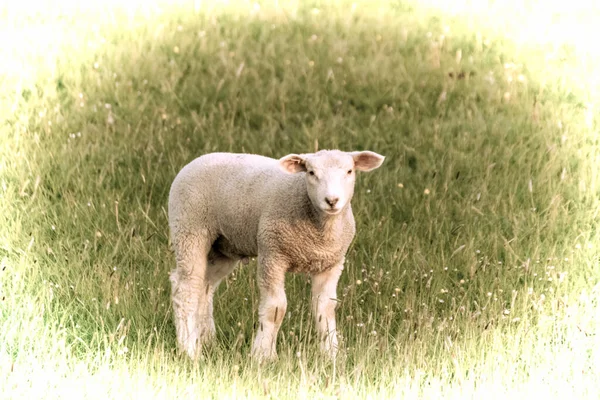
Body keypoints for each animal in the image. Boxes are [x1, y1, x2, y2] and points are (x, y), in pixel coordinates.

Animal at [168, 148, 384, 360]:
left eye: (349, 171)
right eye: (311, 172)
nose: (332, 200)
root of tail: (196, 160)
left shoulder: (331, 264)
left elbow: (325, 308)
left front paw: (332, 354)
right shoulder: (272, 255)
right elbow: (275, 308)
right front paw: (264, 355)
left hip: (223, 248)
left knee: (205, 288)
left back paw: (206, 341)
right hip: (190, 229)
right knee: (186, 289)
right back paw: (189, 350)